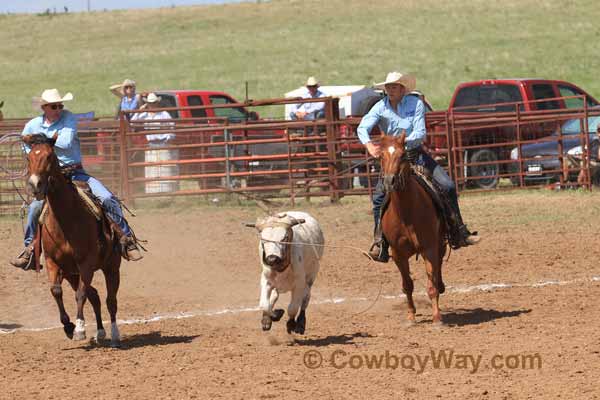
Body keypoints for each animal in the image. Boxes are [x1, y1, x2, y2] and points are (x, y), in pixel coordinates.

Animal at [22, 135, 122, 346]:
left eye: (50, 156)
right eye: (28, 157)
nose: (35, 185)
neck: (66, 219)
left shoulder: (86, 263)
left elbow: (80, 295)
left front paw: (80, 329)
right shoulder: (52, 262)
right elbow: (56, 291)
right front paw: (68, 326)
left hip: (111, 267)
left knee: (110, 301)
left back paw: (115, 335)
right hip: (71, 273)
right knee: (95, 296)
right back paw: (100, 332)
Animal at [380, 134, 446, 324]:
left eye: (402, 155)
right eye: (381, 156)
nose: (390, 181)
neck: (406, 212)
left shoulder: (429, 247)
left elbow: (431, 284)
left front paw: (437, 318)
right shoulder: (397, 254)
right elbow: (407, 285)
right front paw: (410, 316)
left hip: (441, 243)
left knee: (438, 267)